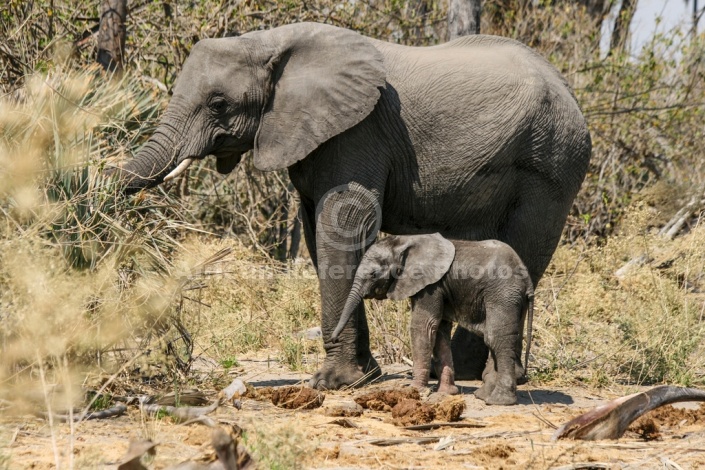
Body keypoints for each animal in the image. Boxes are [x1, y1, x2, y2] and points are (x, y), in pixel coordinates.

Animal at [332, 233, 532, 406]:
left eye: (373, 274)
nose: (333, 339)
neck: (406, 241)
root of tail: (527, 280)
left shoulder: (430, 286)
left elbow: (423, 326)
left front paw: (414, 391)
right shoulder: (438, 288)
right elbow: (440, 331)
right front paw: (446, 393)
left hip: (503, 294)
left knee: (496, 338)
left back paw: (498, 401)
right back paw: (482, 395)